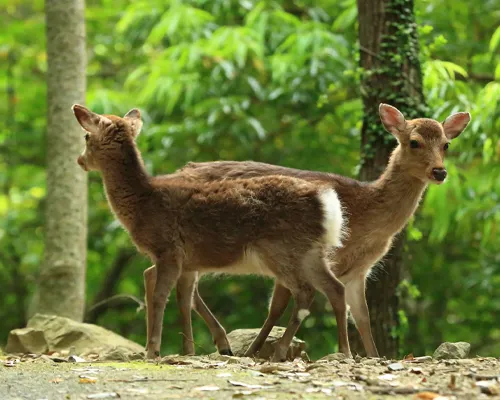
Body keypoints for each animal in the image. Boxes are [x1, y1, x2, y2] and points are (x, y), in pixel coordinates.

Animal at [70, 104, 352, 360]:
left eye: (86, 136)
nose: (80, 160)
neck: (142, 202)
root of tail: (327, 203)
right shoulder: (186, 261)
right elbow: (184, 300)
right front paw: (190, 351)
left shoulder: (168, 250)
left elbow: (161, 297)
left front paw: (153, 351)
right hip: (311, 252)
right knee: (336, 288)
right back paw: (344, 351)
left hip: (282, 249)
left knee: (306, 292)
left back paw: (281, 351)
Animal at [166, 104, 470, 358]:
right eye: (414, 142)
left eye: (446, 144)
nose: (439, 172)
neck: (364, 217)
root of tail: (177, 171)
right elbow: (278, 307)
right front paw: (256, 351)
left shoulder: (358, 271)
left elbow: (362, 316)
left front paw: (373, 356)